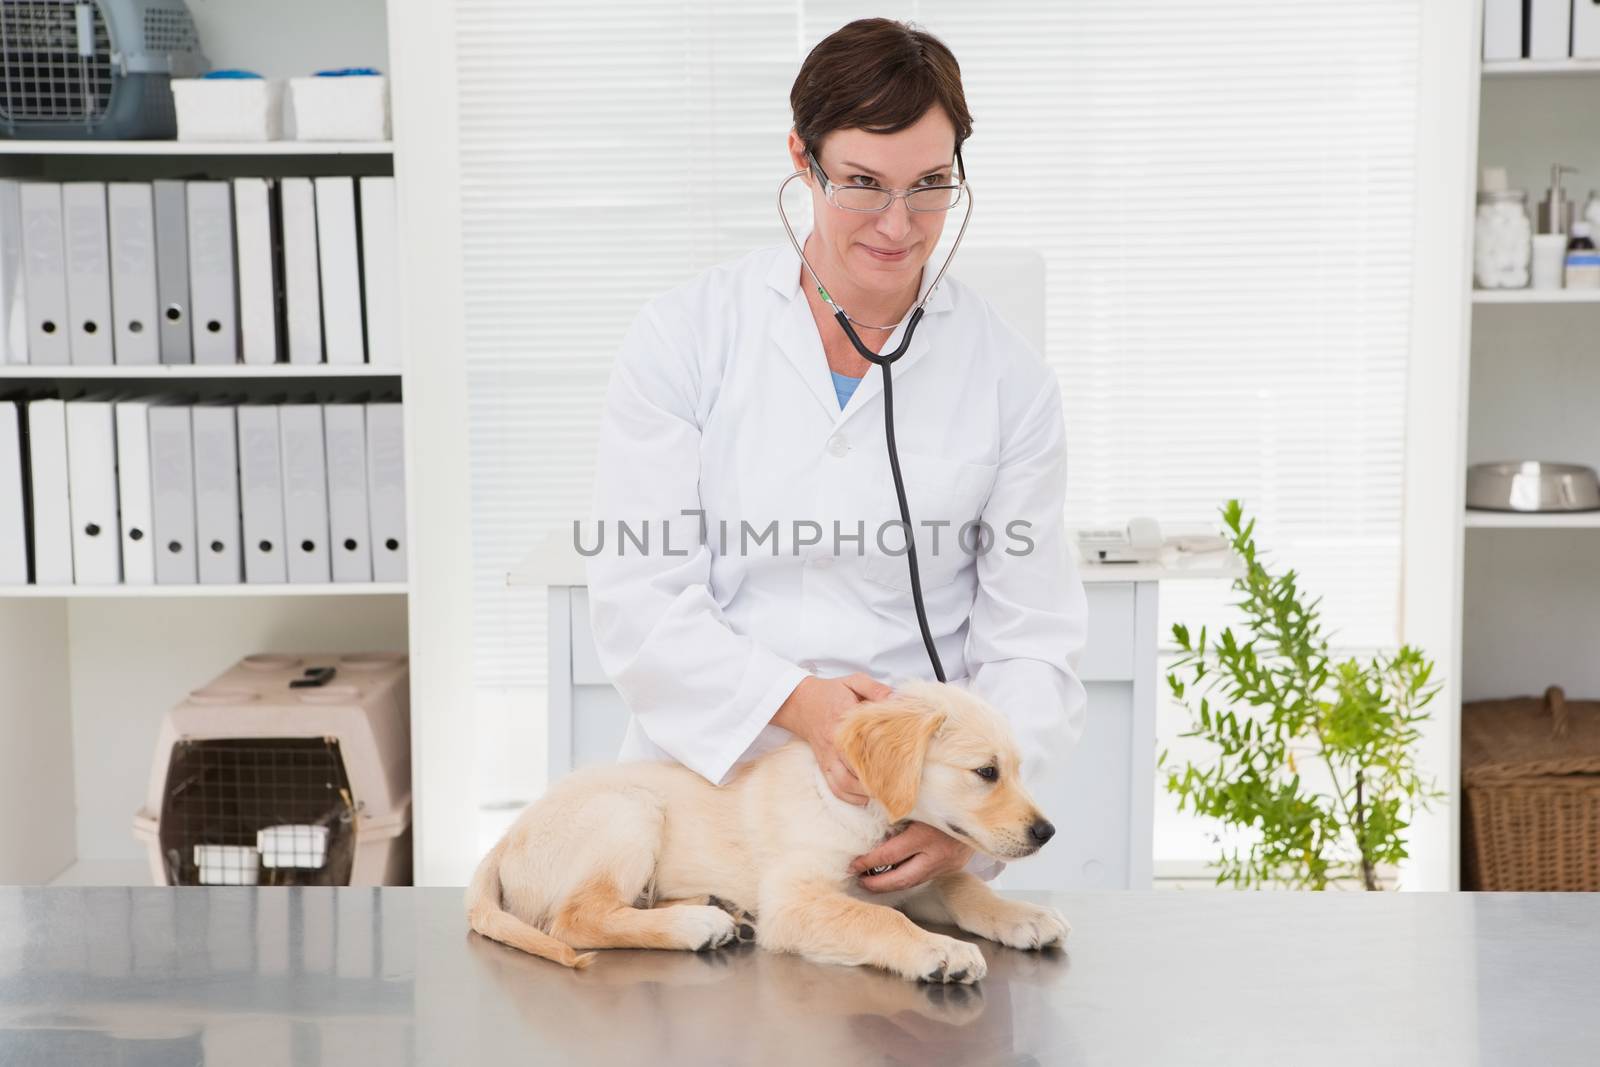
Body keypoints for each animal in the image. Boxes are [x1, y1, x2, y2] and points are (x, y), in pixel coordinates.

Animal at [464, 681, 1062, 979]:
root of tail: (505, 837)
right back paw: (698, 924)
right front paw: (940, 950)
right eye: (986, 772)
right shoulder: (794, 901)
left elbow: (964, 886)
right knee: (576, 918)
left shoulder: (908, 877)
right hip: (630, 810)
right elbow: (877, 917)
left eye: (1018, 768)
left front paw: (1024, 916)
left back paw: (717, 909)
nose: (1046, 832)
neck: (866, 813)